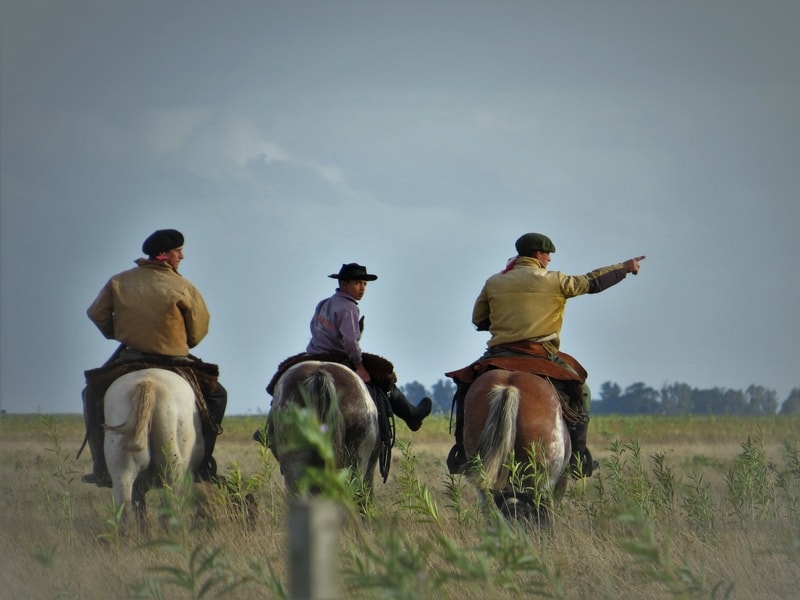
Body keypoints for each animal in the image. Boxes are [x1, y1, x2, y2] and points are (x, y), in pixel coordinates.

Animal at [104, 368, 203, 528]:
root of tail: (149, 382)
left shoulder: (138, 487)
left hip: (121, 471)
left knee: (124, 511)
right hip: (172, 472)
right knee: (172, 508)